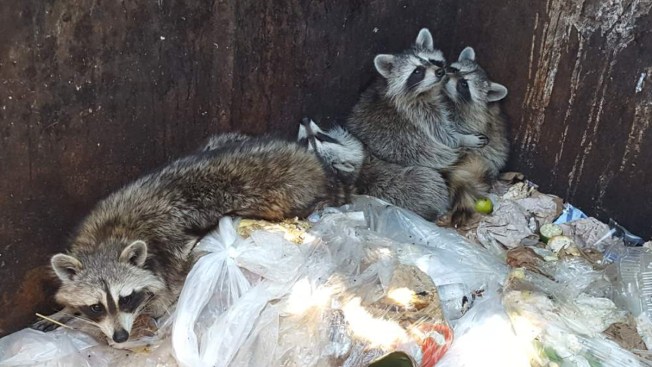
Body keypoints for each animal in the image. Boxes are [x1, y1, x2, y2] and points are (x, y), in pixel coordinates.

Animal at [33, 134, 344, 344]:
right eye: (96, 306)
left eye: (126, 299)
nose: (121, 337)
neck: (110, 237)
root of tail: (312, 162)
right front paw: (65, 310)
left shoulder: (170, 255)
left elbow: (166, 294)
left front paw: (146, 315)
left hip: (286, 193)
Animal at [346, 28, 488, 172]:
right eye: (418, 71)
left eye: (433, 61)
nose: (440, 72)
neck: (426, 92)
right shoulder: (417, 112)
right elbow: (442, 135)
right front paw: (464, 138)